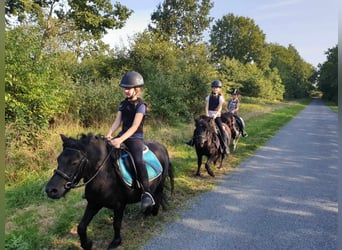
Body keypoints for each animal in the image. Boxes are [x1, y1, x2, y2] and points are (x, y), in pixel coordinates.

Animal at [45, 134, 174, 250]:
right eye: (58, 159)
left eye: (74, 162)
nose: (51, 190)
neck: (104, 175)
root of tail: (161, 146)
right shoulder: (94, 203)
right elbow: (81, 227)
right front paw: (87, 244)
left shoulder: (119, 205)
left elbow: (116, 224)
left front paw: (116, 242)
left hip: (160, 184)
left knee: (157, 196)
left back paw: (152, 212)